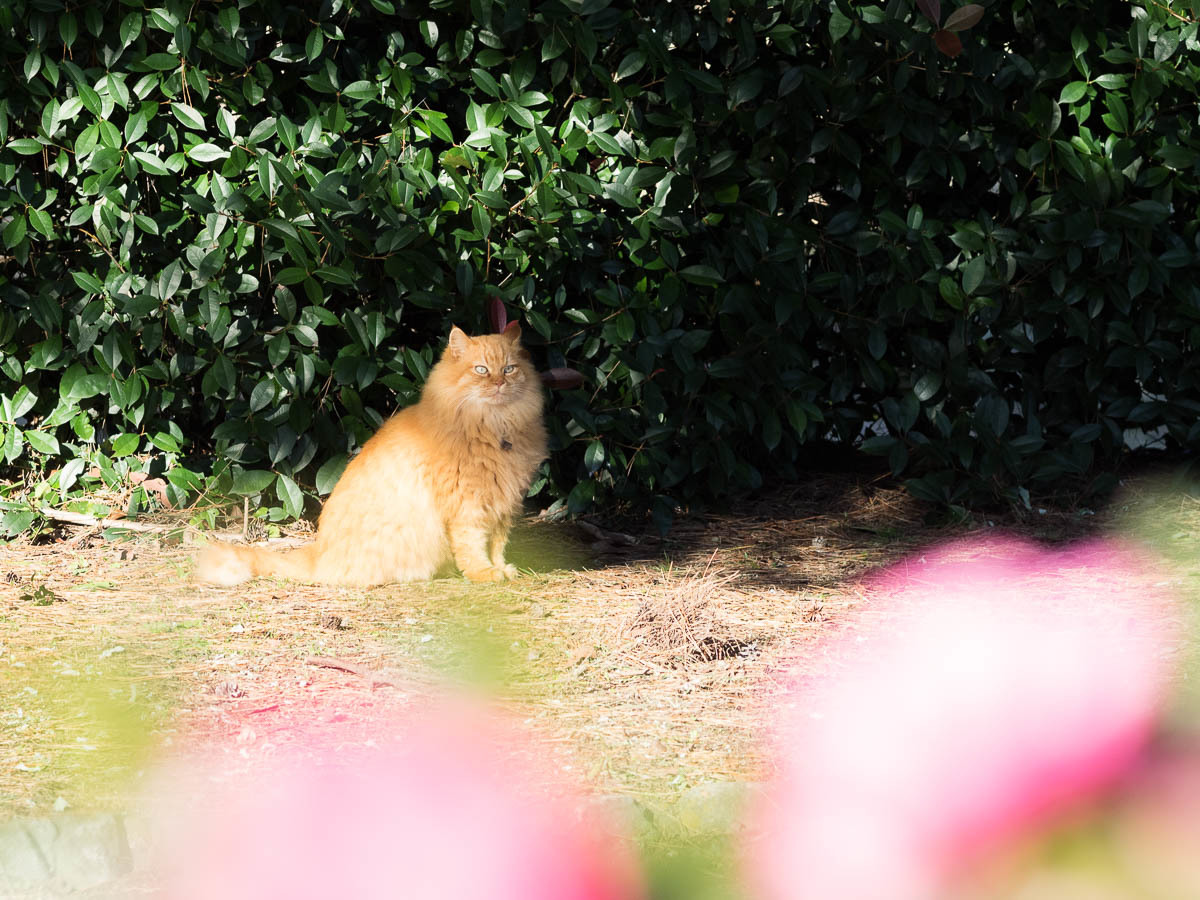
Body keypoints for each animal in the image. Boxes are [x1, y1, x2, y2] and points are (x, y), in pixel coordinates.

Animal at [195, 321, 549, 588]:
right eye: (481, 370)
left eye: (509, 369)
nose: (500, 383)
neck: (494, 427)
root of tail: (318, 551)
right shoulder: (467, 507)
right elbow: (474, 548)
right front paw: (484, 574)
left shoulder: (502, 505)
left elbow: (498, 546)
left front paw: (502, 569)